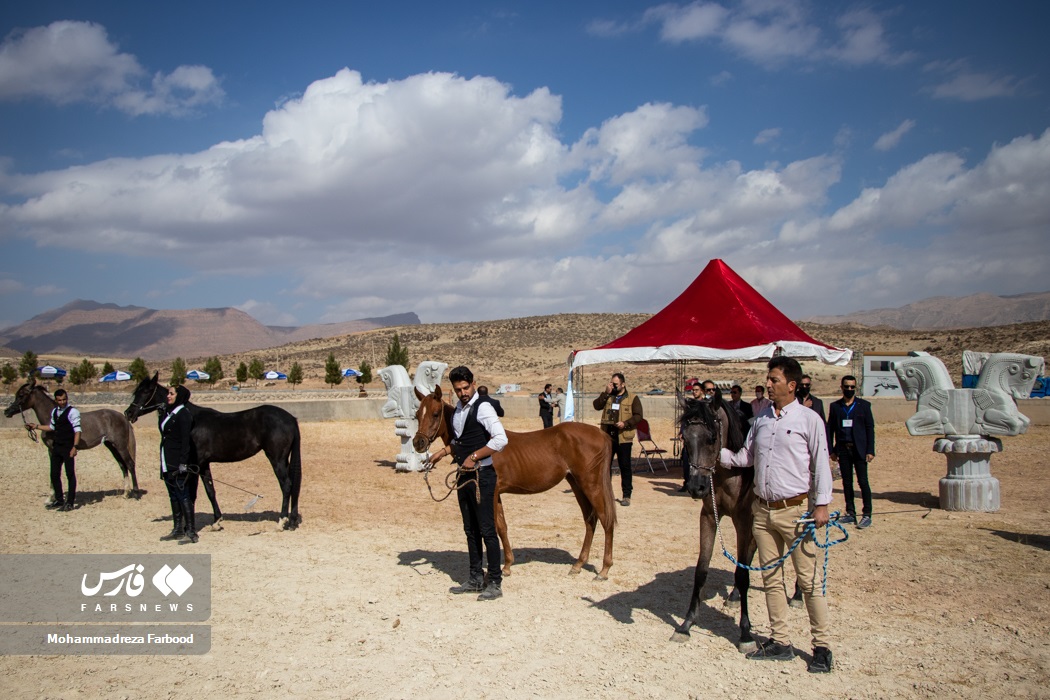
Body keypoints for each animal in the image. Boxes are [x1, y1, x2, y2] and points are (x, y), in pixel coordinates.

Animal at [125, 371, 304, 531]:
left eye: (146, 391)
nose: (128, 413)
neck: (192, 421)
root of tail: (290, 418)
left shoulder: (193, 465)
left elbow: (192, 493)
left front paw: (189, 527)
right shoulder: (203, 465)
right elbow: (210, 491)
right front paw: (216, 522)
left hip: (276, 459)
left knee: (286, 485)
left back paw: (282, 521)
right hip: (284, 459)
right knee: (293, 485)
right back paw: (292, 521)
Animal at [413, 386, 617, 579]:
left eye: (435, 413)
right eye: (417, 414)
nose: (418, 442)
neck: (483, 449)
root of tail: (602, 435)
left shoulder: (490, 493)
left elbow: (496, 526)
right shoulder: (496, 495)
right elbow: (502, 527)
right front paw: (508, 565)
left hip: (591, 485)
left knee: (606, 520)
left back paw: (604, 570)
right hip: (577, 484)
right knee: (590, 520)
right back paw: (578, 565)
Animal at [667, 396, 760, 654]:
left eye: (711, 438)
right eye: (684, 437)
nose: (696, 487)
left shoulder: (743, 519)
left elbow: (742, 573)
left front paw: (745, 633)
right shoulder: (709, 516)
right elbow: (701, 570)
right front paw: (686, 625)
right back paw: (735, 596)